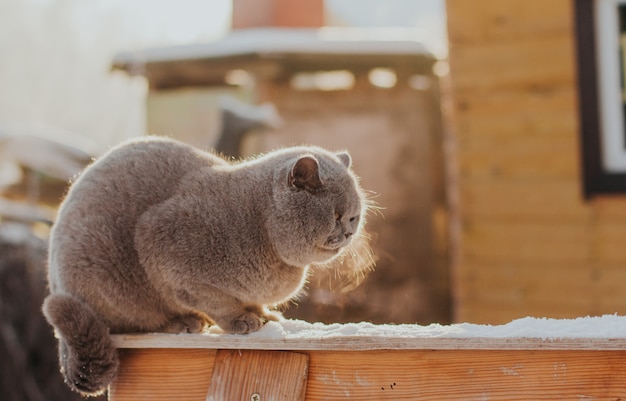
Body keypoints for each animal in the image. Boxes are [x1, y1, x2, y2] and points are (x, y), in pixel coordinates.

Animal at [41, 136, 368, 396]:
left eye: (354, 216)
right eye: (336, 215)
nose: (349, 233)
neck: (261, 226)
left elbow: (254, 304)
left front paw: (265, 315)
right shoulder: (163, 246)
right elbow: (216, 301)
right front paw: (242, 321)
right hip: (113, 285)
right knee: (136, 320)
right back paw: (182, 322)